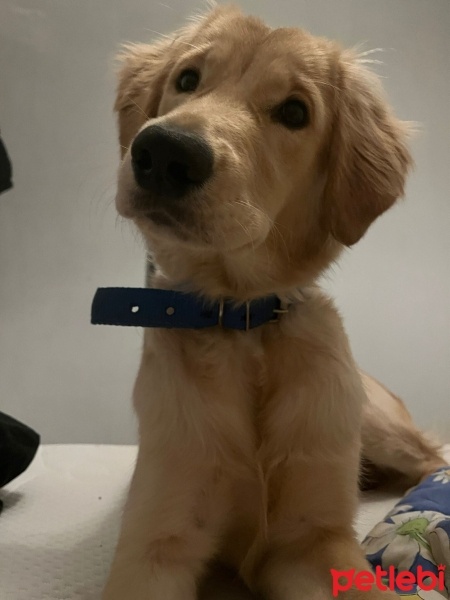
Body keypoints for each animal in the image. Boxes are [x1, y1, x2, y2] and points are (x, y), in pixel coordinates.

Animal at [103, 5, 442, 600]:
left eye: (294, 111)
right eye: (187, 79)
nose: (164, 153)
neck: (239, 319)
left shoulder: (313, 540)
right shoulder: (154, 545)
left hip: (377, 424)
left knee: (434, 454)